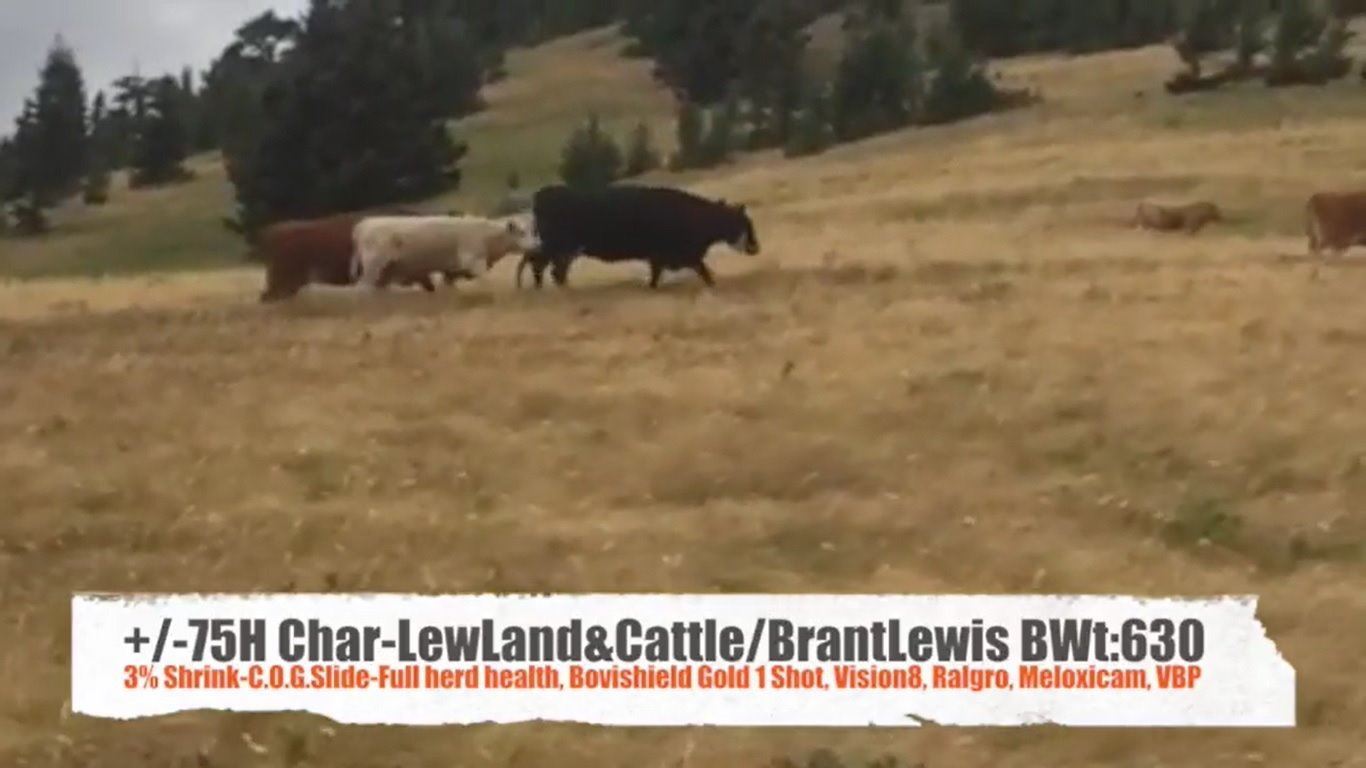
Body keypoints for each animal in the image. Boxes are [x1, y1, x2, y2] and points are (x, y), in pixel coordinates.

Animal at [352, 214, 540, 291]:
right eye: (521, 232)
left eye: (532, 230)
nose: (537, 245)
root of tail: (362, 225)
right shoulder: (473, 261)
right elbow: (486, 281)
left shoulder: (451, 271)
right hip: (374, 267)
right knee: (362, 287)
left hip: (385, 273)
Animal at [515, 184, 761, 290]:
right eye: (744, 223)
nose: (755, 247)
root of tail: (542, 195)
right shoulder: (675, 255)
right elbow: (703, 270)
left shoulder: (664, 257)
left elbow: (660, 274)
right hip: (557, 246)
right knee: (543, 266)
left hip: (560, 249)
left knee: (550, 268)